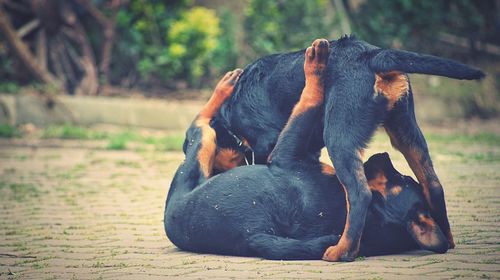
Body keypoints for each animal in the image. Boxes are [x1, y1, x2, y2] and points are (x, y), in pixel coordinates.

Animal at [165, 40, 450, 262]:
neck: (232, 123)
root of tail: (371, 55)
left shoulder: (269, 146)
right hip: (405, 130)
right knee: (433, 184)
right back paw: (447, 238)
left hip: (339, 134)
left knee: (359, 194)